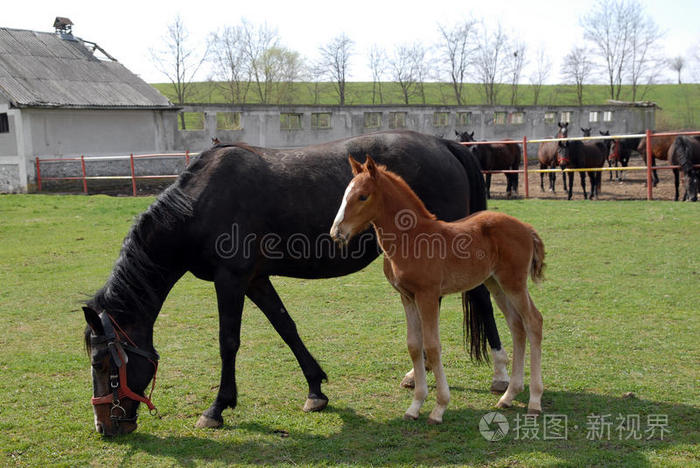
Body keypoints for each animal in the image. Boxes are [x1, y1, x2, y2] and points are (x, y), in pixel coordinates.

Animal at [82, 131, 508, 436]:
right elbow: (286, 327)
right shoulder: (255, 280)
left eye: (102, 362)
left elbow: (228, 341)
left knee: (480, 297)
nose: (105, 427)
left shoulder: (231, 280)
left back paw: (501, 375)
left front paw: (217, 408)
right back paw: (417, 374)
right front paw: (316, 390)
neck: (199, 203)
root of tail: (444, 144)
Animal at [330, 156, 548, 424]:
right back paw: (508, 396)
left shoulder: (429, 295)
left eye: (362, 196)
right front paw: (414, 407)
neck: (410, 237)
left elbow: (433, 347)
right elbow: (414, 346)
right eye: (345, 194)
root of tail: (527, 227)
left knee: (533, 321)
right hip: (495, 284)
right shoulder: (407, 296)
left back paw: (534, 401)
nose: (337, 232)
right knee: (517, 326)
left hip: (514, 283)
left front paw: (439, 408)